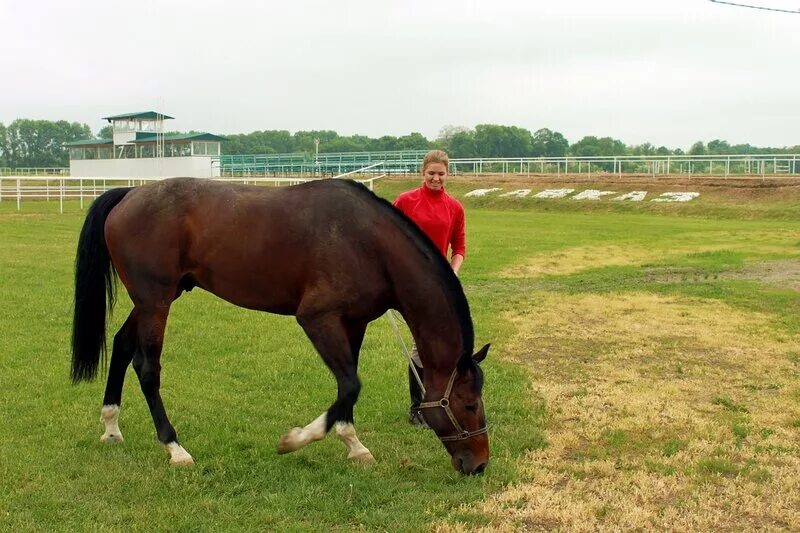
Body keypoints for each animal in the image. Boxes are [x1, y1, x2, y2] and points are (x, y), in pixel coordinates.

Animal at [72, 178, 490, 474]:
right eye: (469, 404)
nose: (480, 464)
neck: (368, 243)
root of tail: (130, 194)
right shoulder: (317, 318)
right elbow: (350, 385)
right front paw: (295, 440)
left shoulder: (353, 323)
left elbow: (348, 385)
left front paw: (354, 445)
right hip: (154, 300)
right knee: (147, 367)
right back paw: (175, 448)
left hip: (158, 298)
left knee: (122, 346)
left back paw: (111, 427)